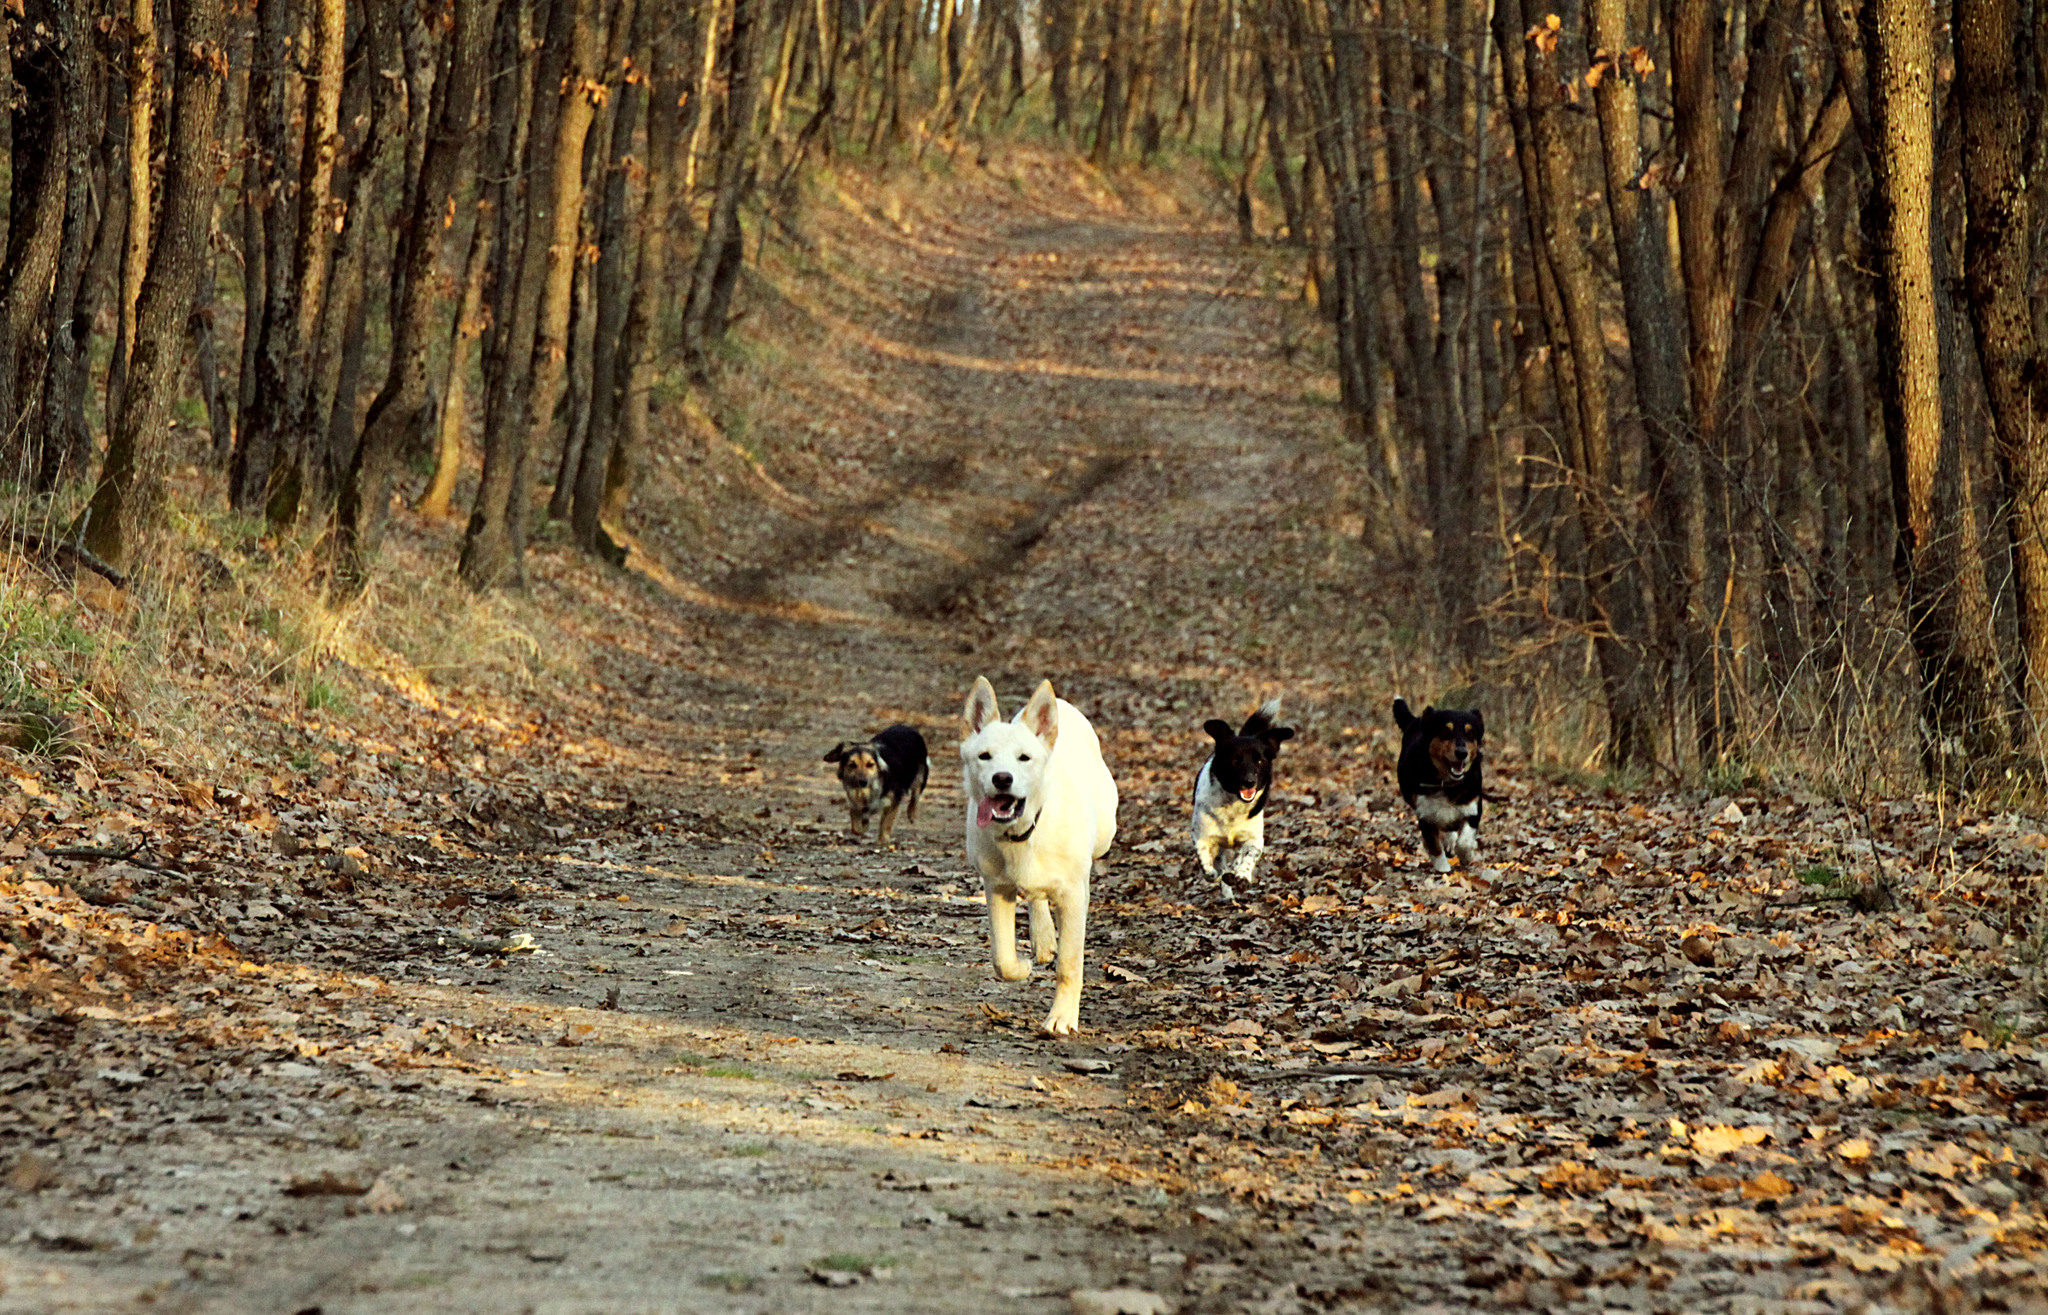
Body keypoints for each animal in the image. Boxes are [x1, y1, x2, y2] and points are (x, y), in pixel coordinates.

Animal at [958, 675, 1122, 1032]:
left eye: (1024, 758)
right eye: (985, 756)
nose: (1002, 779)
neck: (1023, 834)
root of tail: (1061, 703)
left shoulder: (1072, 895)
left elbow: (1070, 964)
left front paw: (1062, 1018)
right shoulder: (996, 887)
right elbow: (1002, 958)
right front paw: (1022, 967)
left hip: (1105, 833)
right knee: (1036, 899)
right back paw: (1043, 937)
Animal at [1196, 692, 1286, 897]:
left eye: (1259, 760)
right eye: (1235, 760)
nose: (1249, 781)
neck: (1232, 804)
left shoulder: (1254, 839)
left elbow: (1248, 857)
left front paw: (1242, 876)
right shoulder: (1202, 837)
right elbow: (1205, 861)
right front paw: (1211, 873)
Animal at [1392, 696, 1490, 868]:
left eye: (1470, 733)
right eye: (1446, 731)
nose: (1462, 753)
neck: (1446, 784)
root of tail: (1416, 721)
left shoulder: (1472, 809)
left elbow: (1464, 842)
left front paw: (1466, 856)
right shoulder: (1424, 815)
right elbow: (1434, 845)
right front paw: (1442, 868)